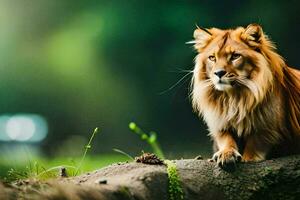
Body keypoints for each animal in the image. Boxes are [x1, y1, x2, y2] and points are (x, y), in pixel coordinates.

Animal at [190, 23, 300, 169]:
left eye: (235, 56)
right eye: (212, 58)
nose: (218, 73)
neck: (234, 98)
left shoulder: (268, 128)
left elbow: (256, 142)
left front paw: (248, 159)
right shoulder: (220, 124)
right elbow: (225, 138)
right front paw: (226, 154)